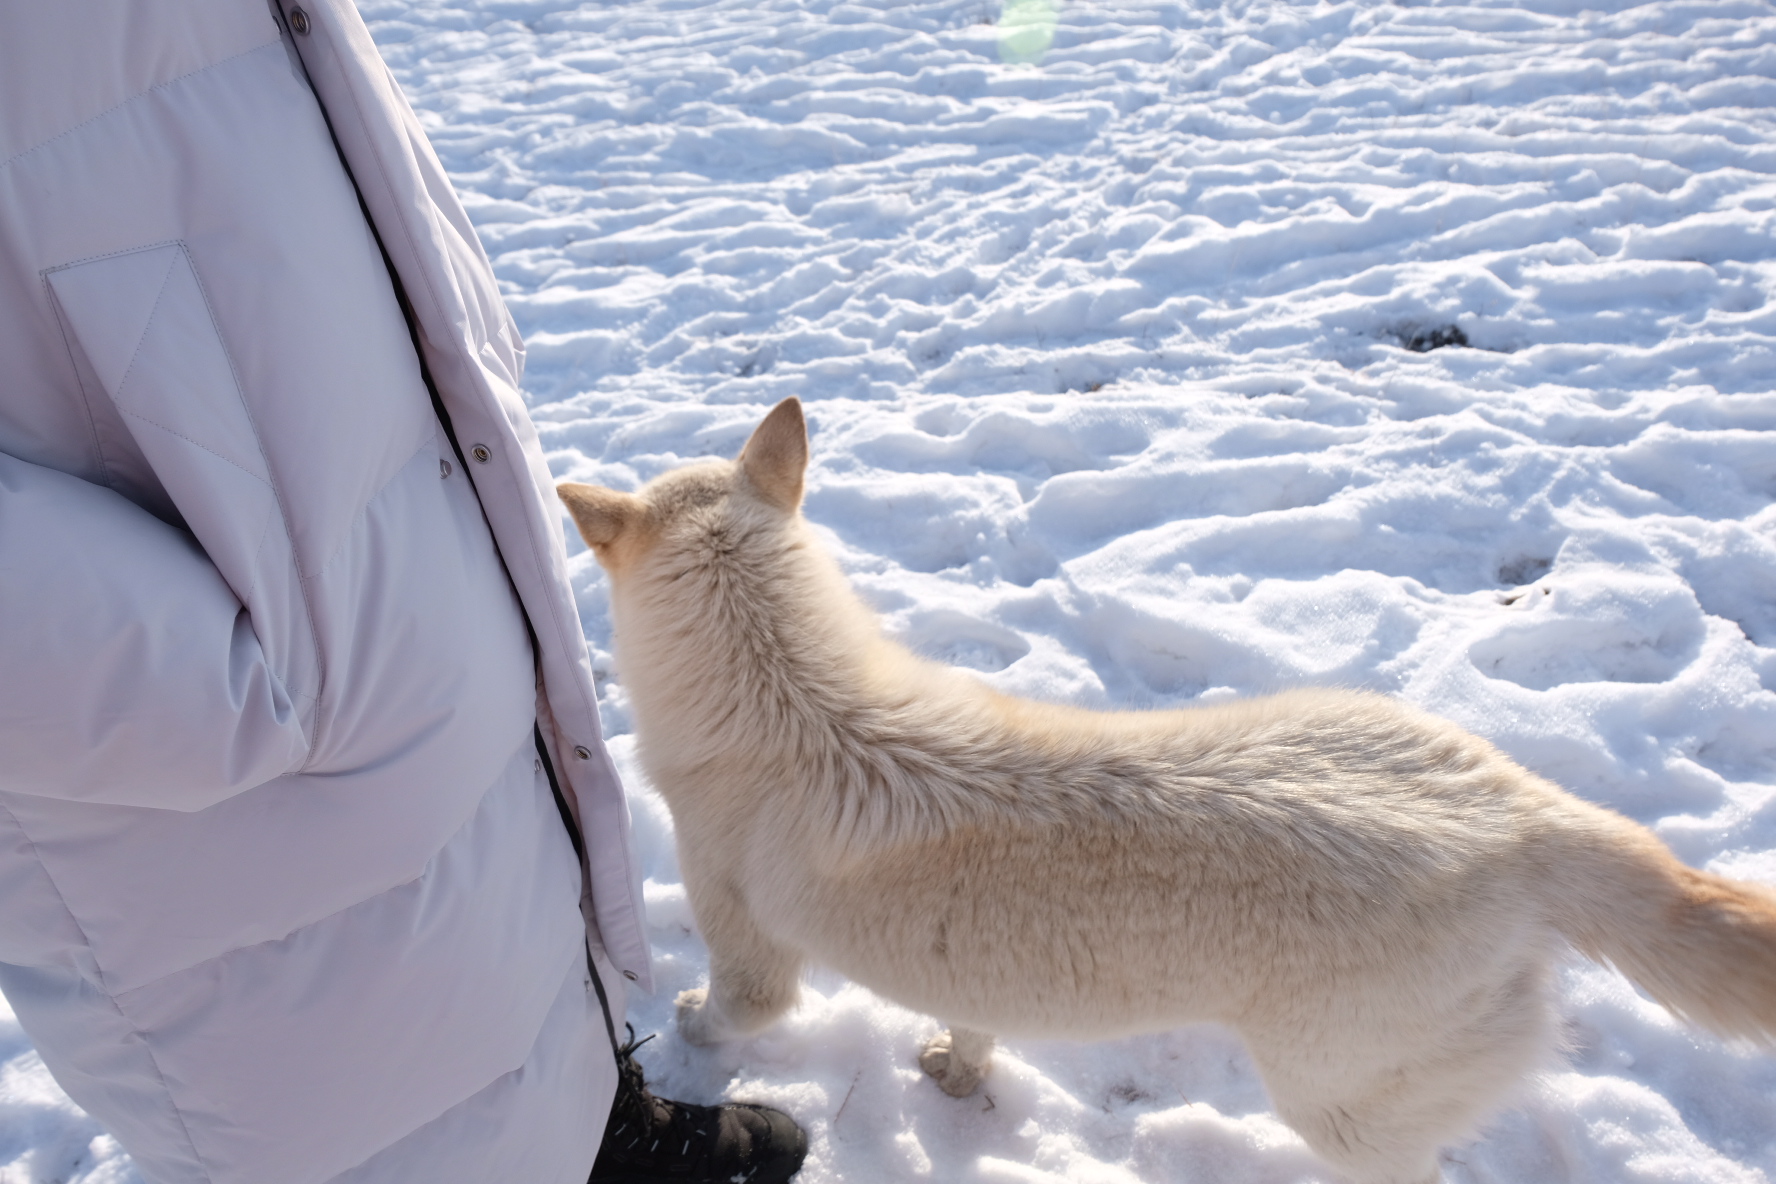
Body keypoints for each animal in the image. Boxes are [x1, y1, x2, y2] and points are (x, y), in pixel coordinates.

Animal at [561, 397, 1776, 1184]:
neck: (786, 694)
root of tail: (1520, 819)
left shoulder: (752, 953)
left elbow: (732, 1010)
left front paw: (686, 1027)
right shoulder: (960, 968)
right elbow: (973, 1028)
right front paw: (958, 1069)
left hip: (1339, 1109)